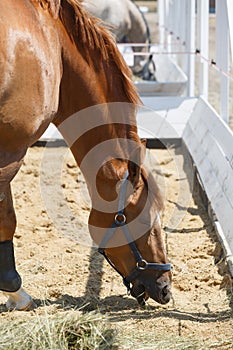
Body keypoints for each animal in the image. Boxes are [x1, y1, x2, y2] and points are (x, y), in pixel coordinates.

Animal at [0, 0, 171, 312]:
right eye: (144, 219)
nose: (166, 289)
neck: (53, 45)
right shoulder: (10, 150)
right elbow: (7, 218)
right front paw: (15, 292)